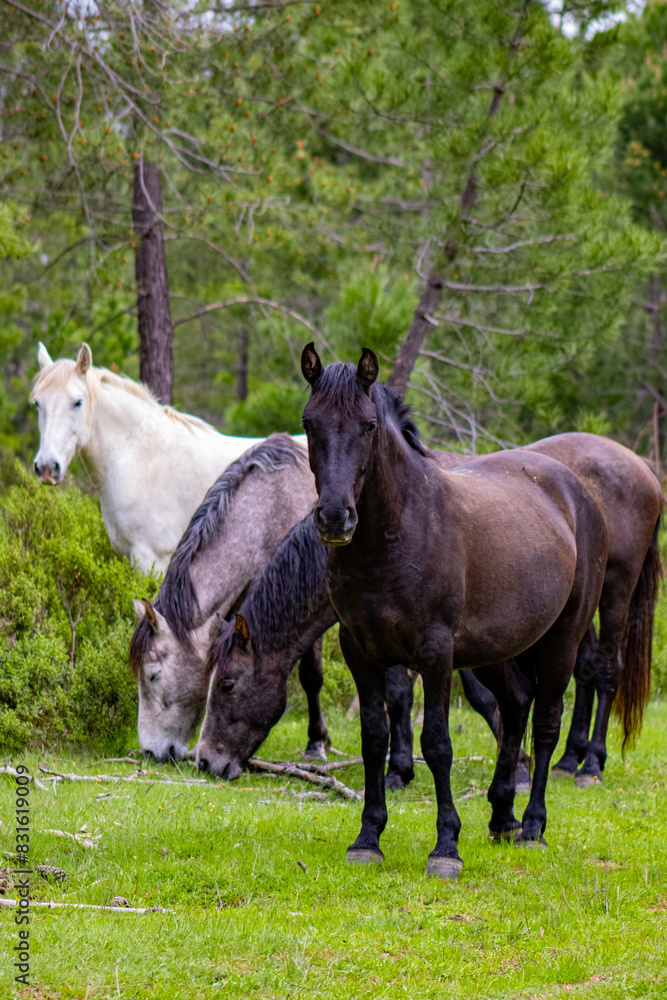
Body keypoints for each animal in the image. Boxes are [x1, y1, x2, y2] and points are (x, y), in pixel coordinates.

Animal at [301, 344, 608, 877]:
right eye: (308, 422)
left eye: (369, 426)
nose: (335, 518)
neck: (398, 531)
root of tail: (575, 491)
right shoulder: (360, 650)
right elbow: (374, 737)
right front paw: (368, 838)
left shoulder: (435, 651)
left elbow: (437, 745)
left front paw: (446, 846)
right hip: (498, 649)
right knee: (516, 707)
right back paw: (502, 816)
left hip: (562, 639)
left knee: (546, 723)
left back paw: (532, 826)